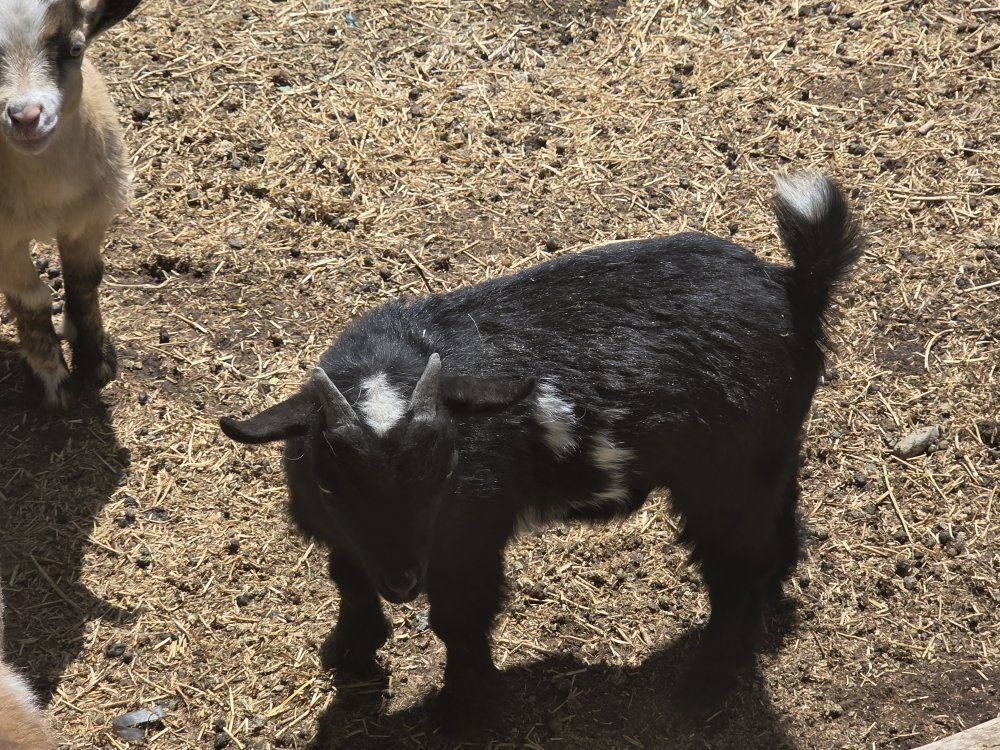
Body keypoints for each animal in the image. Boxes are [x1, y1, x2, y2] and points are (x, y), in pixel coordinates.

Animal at [0, 0, 141, 407]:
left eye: (76, 49)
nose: (26, 118)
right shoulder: (4, 238)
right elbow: (31, 300)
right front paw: (52, 378)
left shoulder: (89, 215)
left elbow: (84, 279)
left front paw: (95, 359)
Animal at [220, 173, 861, 720]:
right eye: (331, 482)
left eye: (445, 471)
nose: (402, 583)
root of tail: (796, 288)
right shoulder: (342, 533)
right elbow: (349, 582)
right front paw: (351, 654)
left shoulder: (468, 535)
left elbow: (460, 617)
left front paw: (464, 711)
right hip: (768, 452)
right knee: (775, 527)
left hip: (723, 477)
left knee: (735, 567)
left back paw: (704, 687)